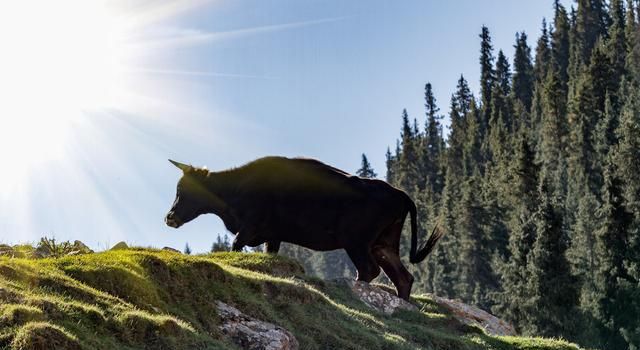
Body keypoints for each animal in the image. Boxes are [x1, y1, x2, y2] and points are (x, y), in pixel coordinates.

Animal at [165, 157, 442, 300]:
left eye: (182, 189)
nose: (169, 217)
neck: (234, 190)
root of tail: (401, 194)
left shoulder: (250, 227)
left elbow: (234, 246)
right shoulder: (272, 236)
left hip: (357, 241)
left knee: (369, 270)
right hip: (383, 243)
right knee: (403, 277)